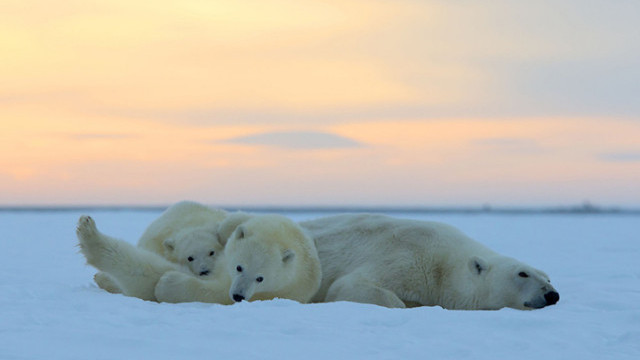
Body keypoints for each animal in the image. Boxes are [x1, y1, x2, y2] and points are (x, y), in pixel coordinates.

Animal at [153, 215, 322, 306]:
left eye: (260, 278)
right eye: (239, 267)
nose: (238, 296)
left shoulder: (273, 292)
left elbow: (215, 293)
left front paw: (166, 283)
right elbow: (234, 222)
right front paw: (221, 231)